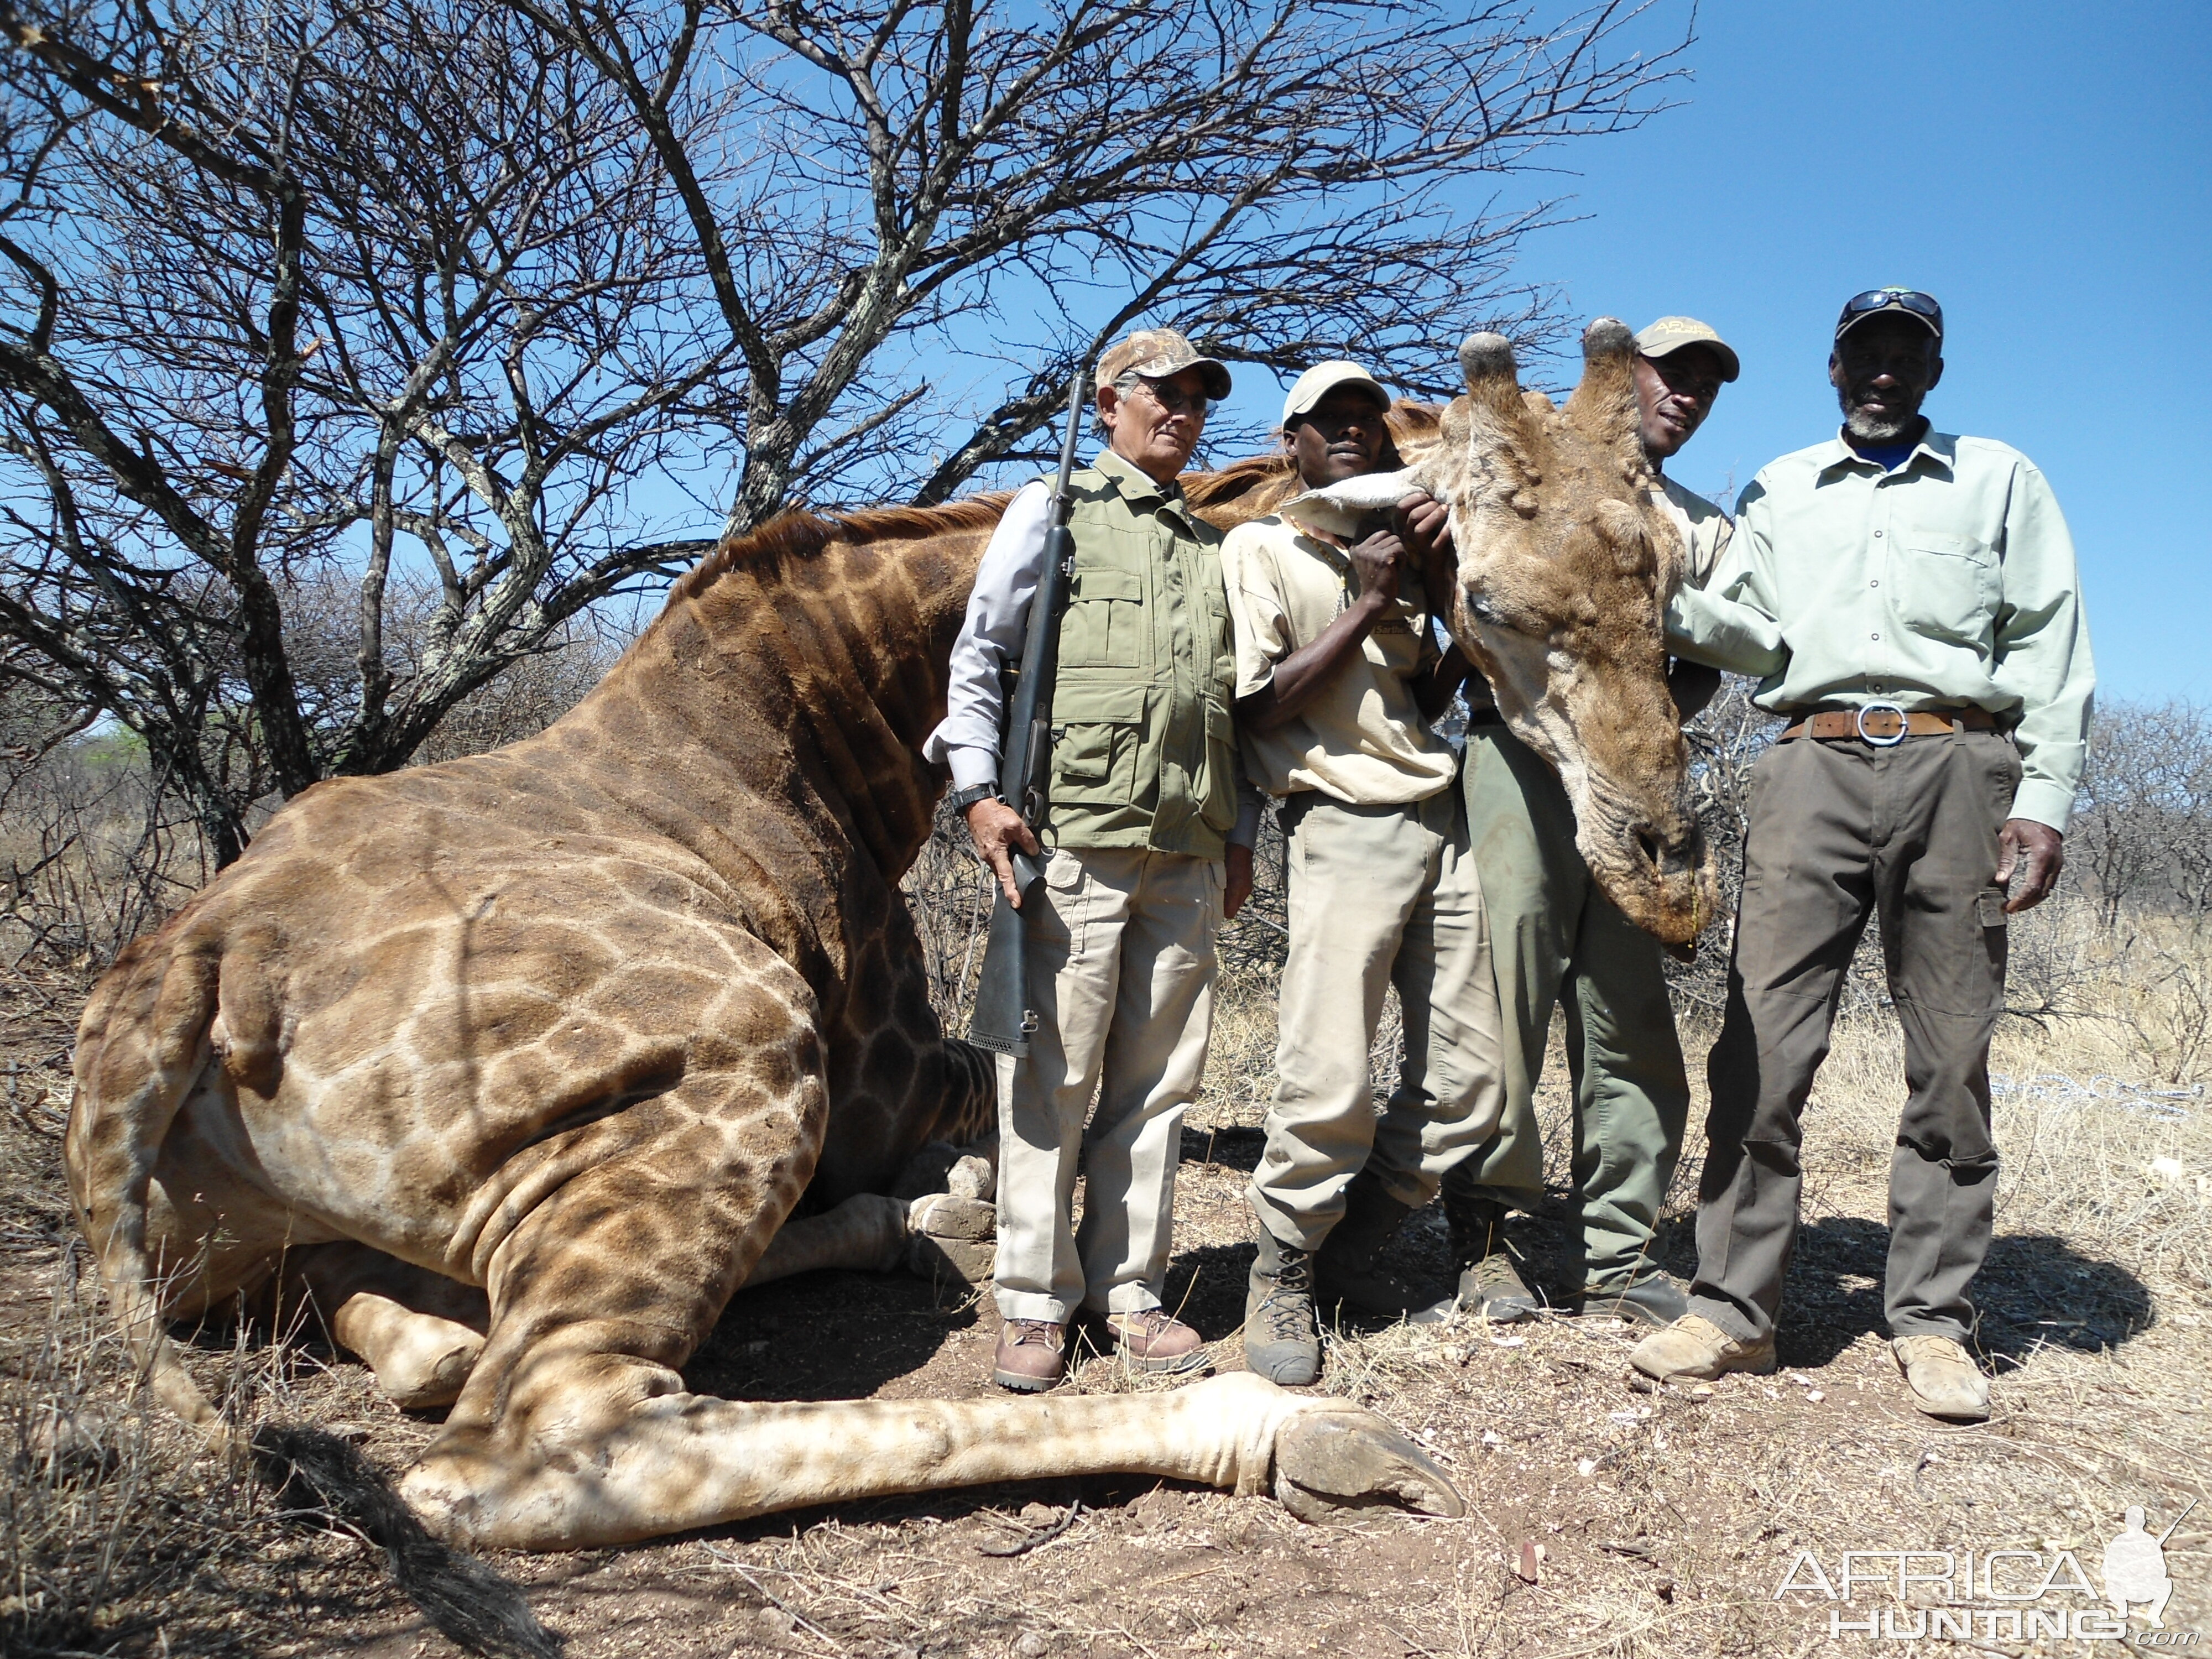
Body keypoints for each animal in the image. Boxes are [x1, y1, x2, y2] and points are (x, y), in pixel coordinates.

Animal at [66, 498, 1463, 1552]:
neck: (829, 716)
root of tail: (179, 970)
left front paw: (946, 1203)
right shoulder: (885, 1070)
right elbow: (1004, 1088)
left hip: (247, 1238)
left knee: (414, 1330)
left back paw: (915, 1228)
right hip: (751, 1046)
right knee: (540, 1442)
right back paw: (1285, 1425)